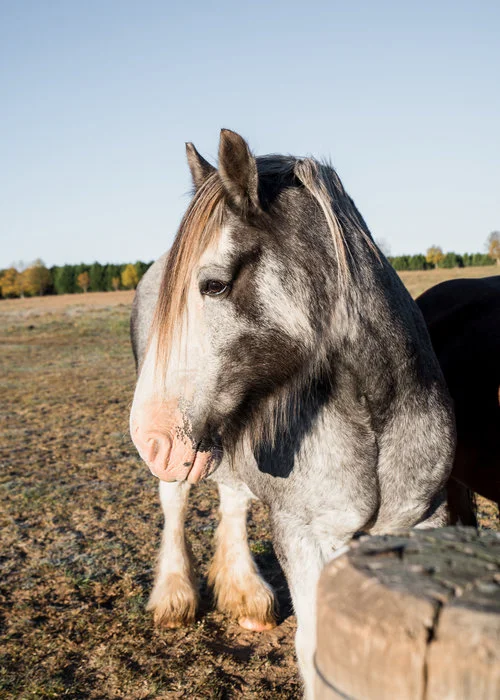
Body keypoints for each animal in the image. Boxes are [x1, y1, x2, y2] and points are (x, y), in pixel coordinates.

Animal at [129, 129, 455, 697]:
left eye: (213, 285)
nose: (149, 436)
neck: (375, 414)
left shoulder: (420, 525)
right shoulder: (304, 534)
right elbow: (315, 651)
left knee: (233, 497)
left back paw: (246, 595)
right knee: (174, 502)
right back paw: (174, 597)